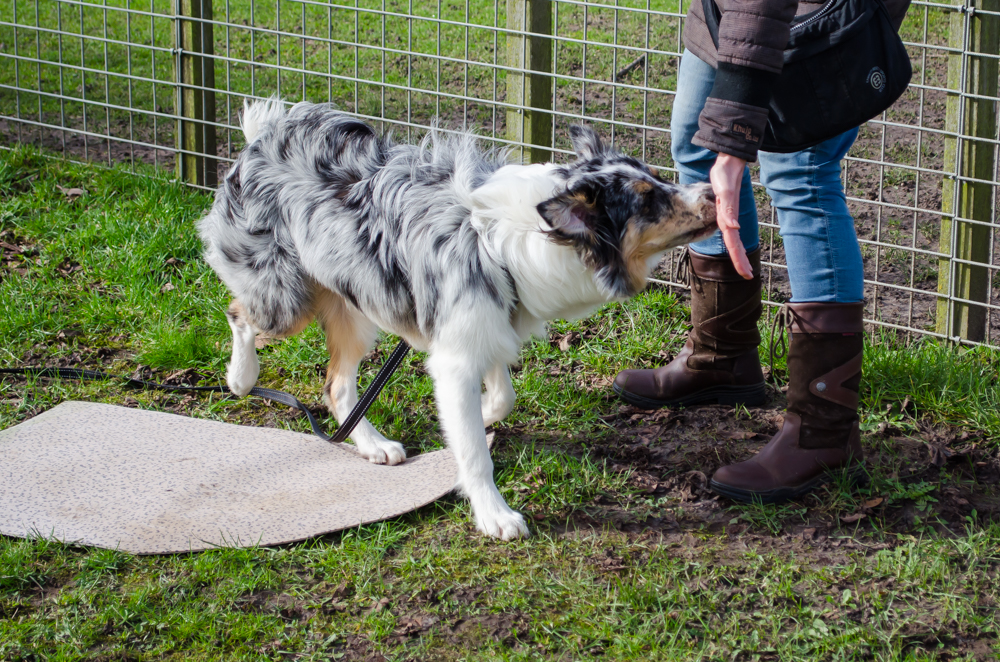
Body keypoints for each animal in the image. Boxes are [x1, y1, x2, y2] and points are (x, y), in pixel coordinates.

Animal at [197, 101, 720, 544]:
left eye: (659, 179)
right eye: (649, 201)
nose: (714, 190)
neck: (507, 240)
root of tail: (262, 136)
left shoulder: (488, 326)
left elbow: (504, 397)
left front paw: (481, 414)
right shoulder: (455, 356)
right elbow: (475, 453)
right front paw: (494, 514)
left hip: (355, 308)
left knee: (338, 386)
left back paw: (372, 444)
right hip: (284, 299)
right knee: (239, 313)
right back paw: (241, 378)